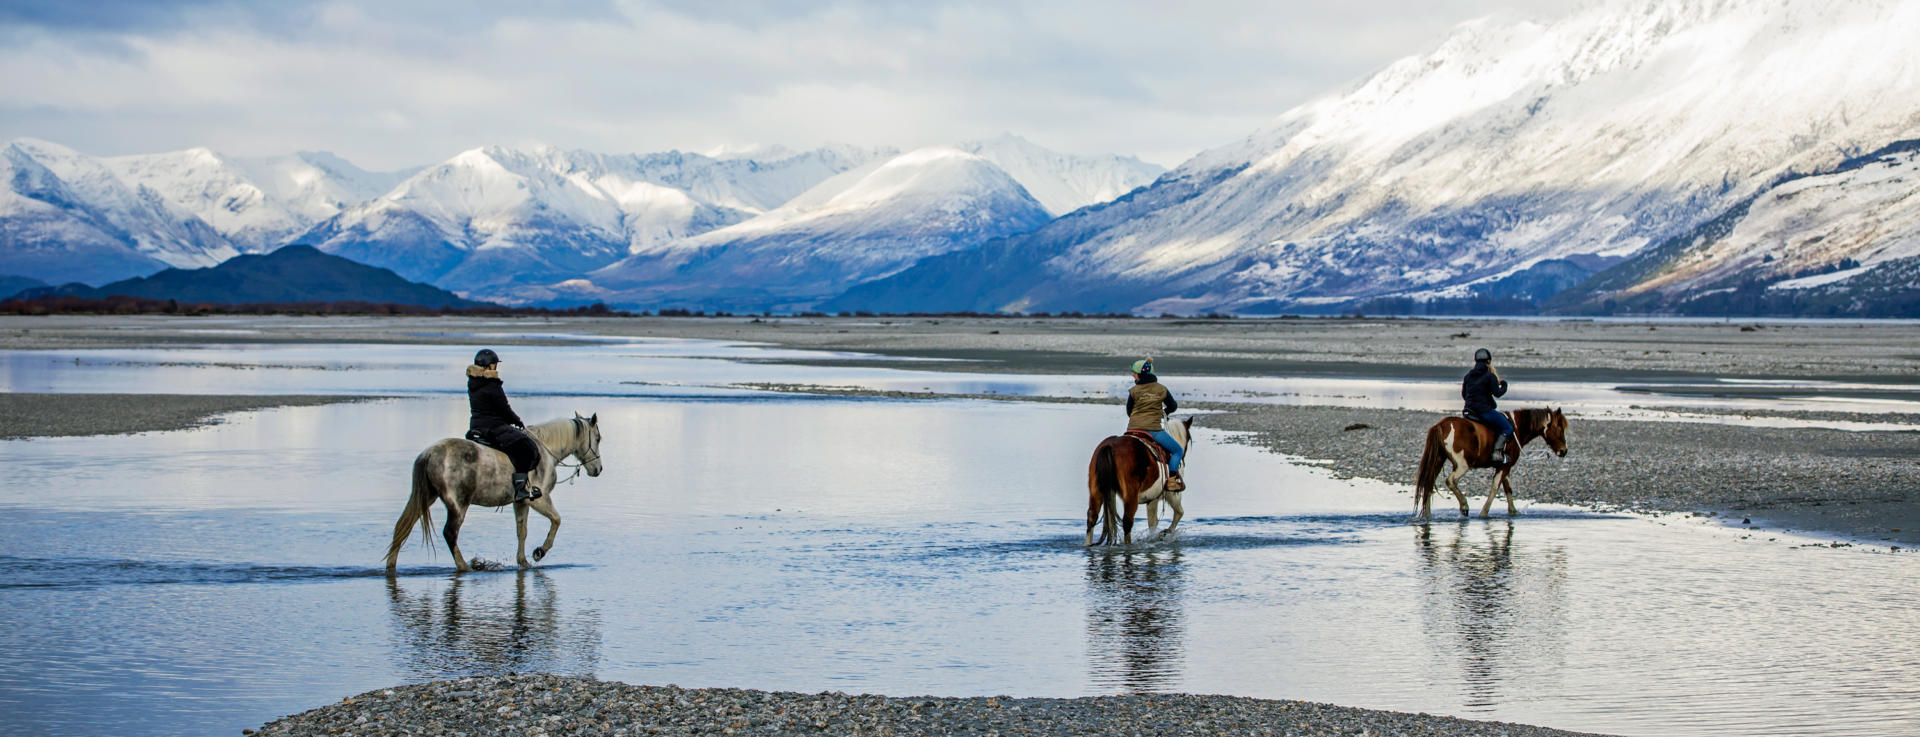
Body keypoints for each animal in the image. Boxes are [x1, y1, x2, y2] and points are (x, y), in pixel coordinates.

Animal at [385, 410, 602, 571]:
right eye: (598, 438)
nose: (598, 469)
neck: (545, 451)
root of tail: (429, 454)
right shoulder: (539, 499)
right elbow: (556, 520)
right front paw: (539, 552)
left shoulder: (521, 501)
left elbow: (522, 531)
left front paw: (523, 561)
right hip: (458, 504)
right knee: (450, 533)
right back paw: (465, 567)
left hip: (428, 496)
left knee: (403, 526)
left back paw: (391, 564)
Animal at [1413, 408, 1574, 518]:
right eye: (1559, 428)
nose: (1564, 451)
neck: (1516, 428)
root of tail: (1441, 425)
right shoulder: (1504, 466)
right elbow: (1496, 487)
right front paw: (1484, 512)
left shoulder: (1505, 467)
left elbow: (1508, 488)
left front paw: (1513, 512)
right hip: (1462, 465)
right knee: (1451, 481)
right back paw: (1464, 506)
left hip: (1438, 460)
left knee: (1429, 483)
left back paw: (1428, 515)